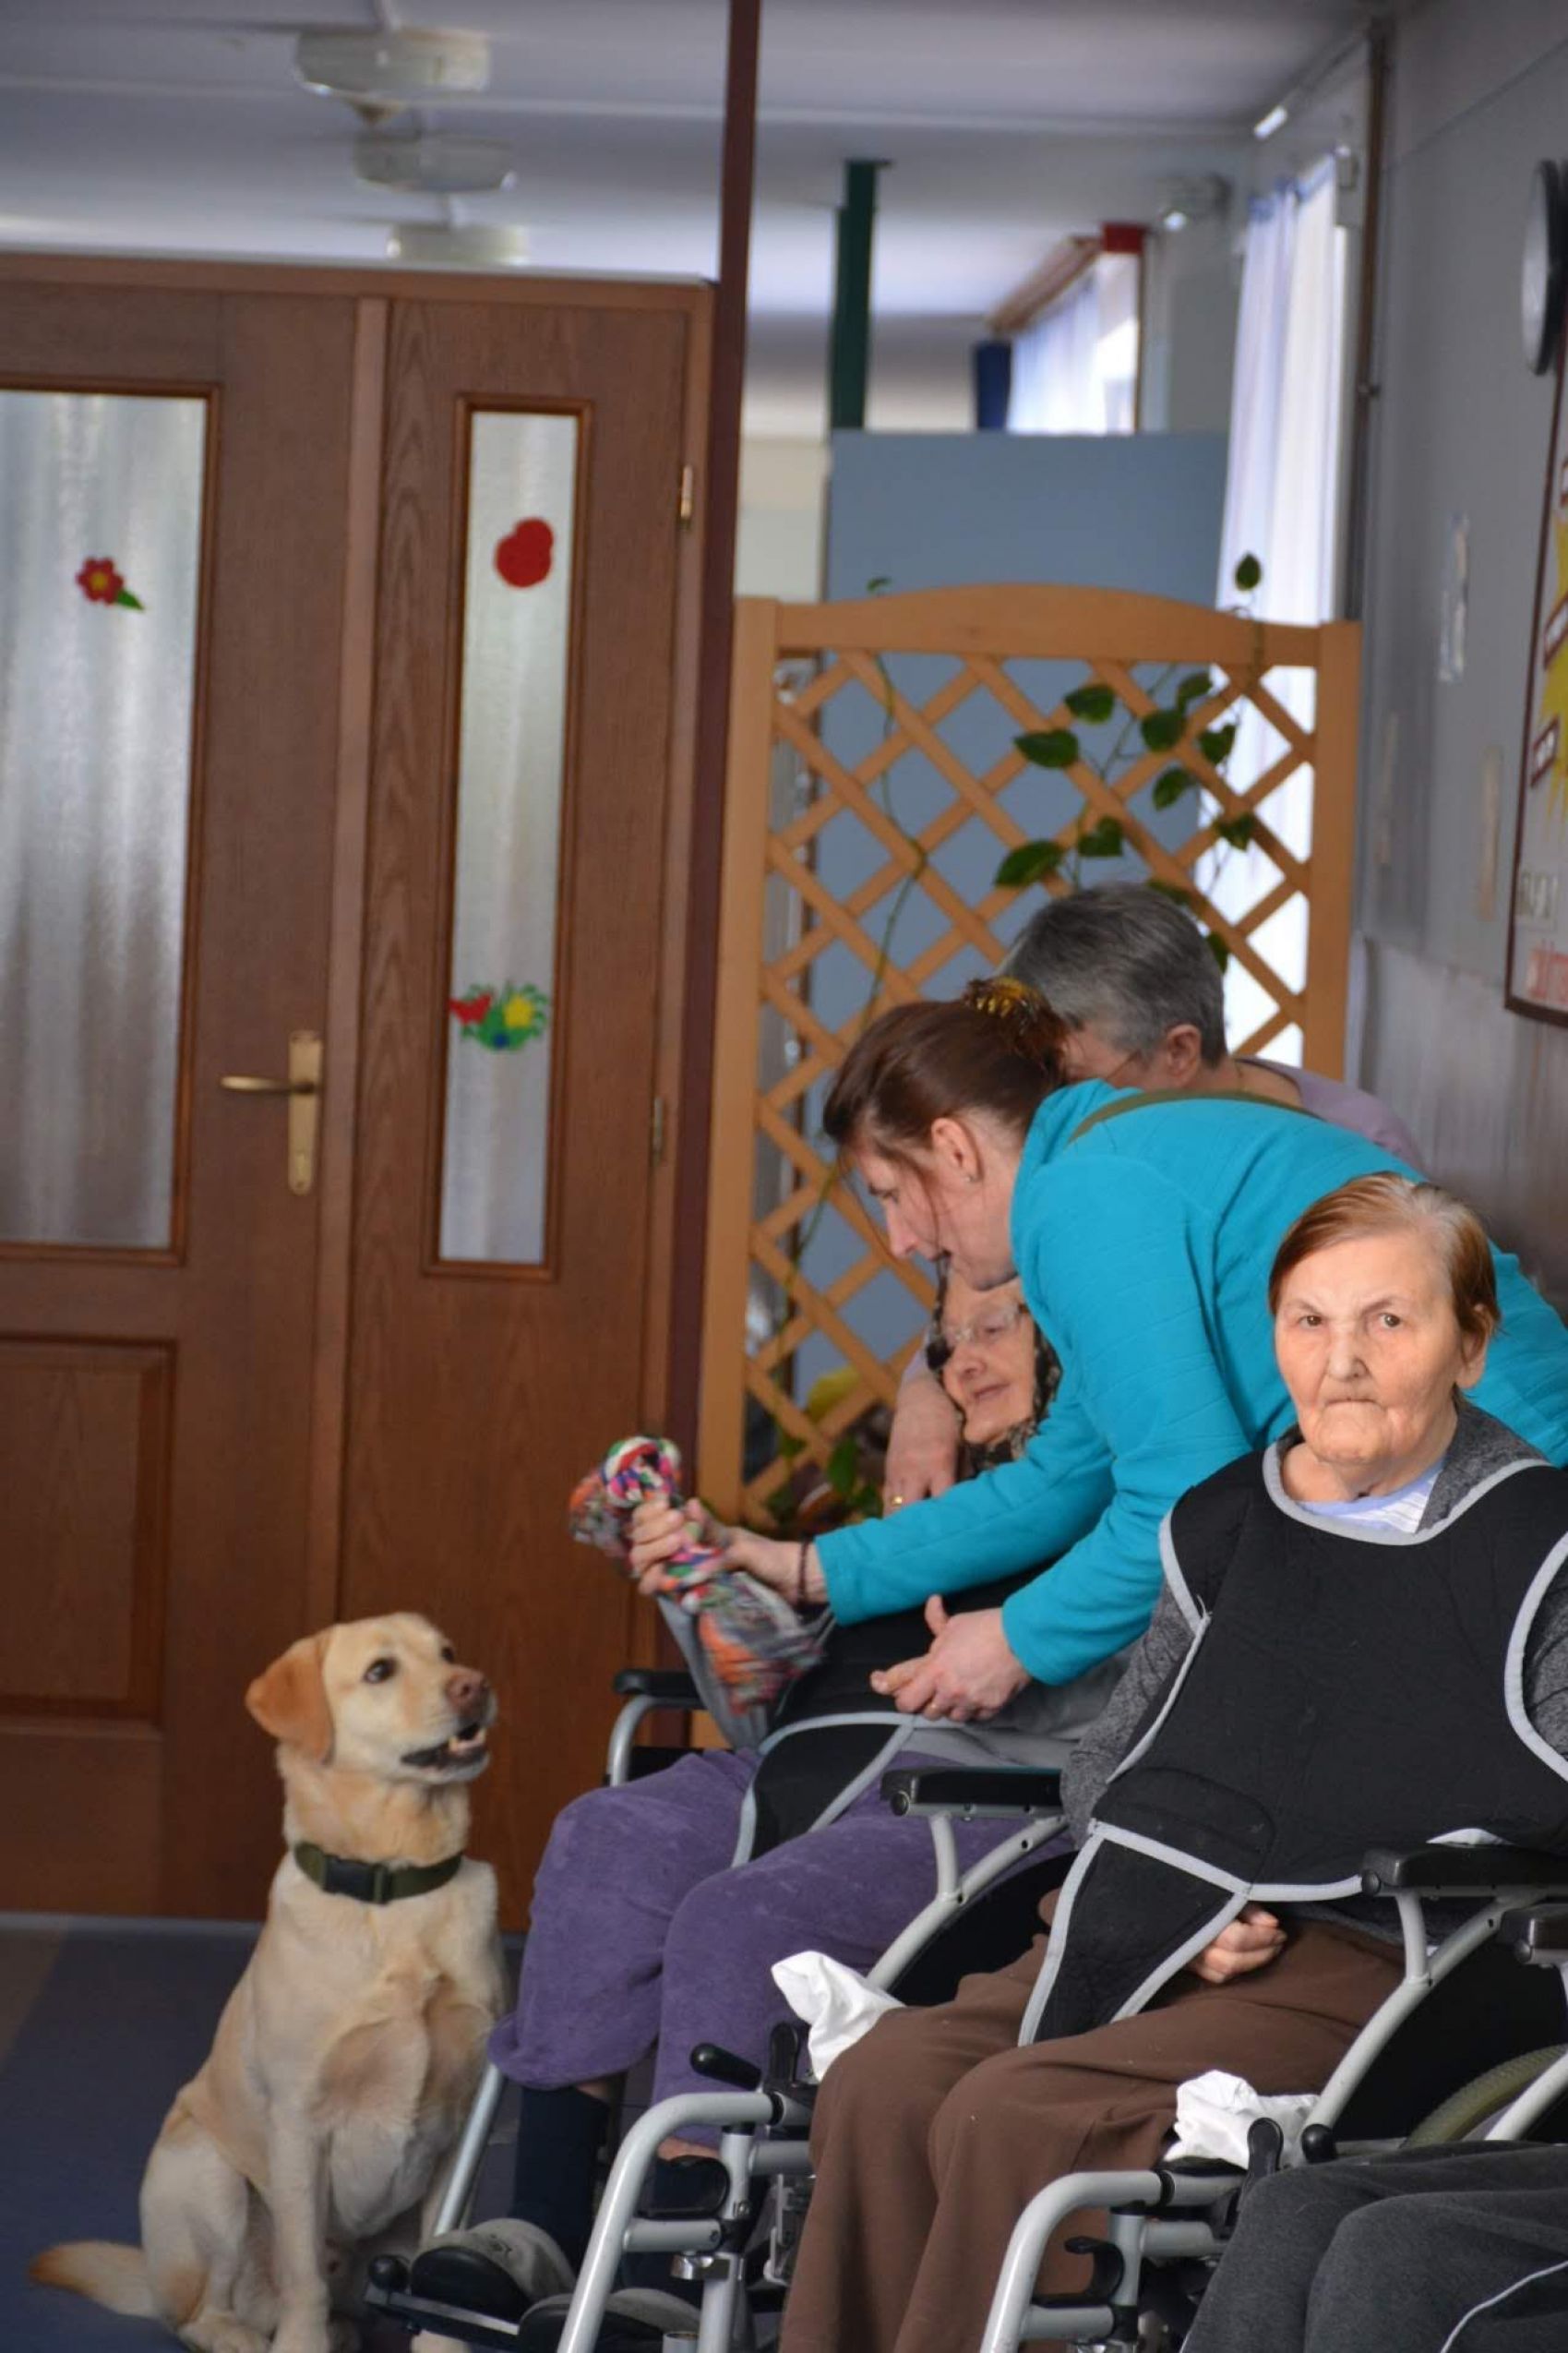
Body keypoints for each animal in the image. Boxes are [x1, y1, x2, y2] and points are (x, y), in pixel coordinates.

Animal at [33, 1612, 505, 2353]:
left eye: (449, 1653)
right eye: (379, 1671)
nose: (474, 1685)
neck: (394, 1891)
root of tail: (155, 2279)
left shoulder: (465, 2130)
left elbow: (439, 2273)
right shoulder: (300, 2124)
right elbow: (303, 2271)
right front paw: (302, 2342)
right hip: (210, 2177)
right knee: (202, 2313)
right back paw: (246, 2335)